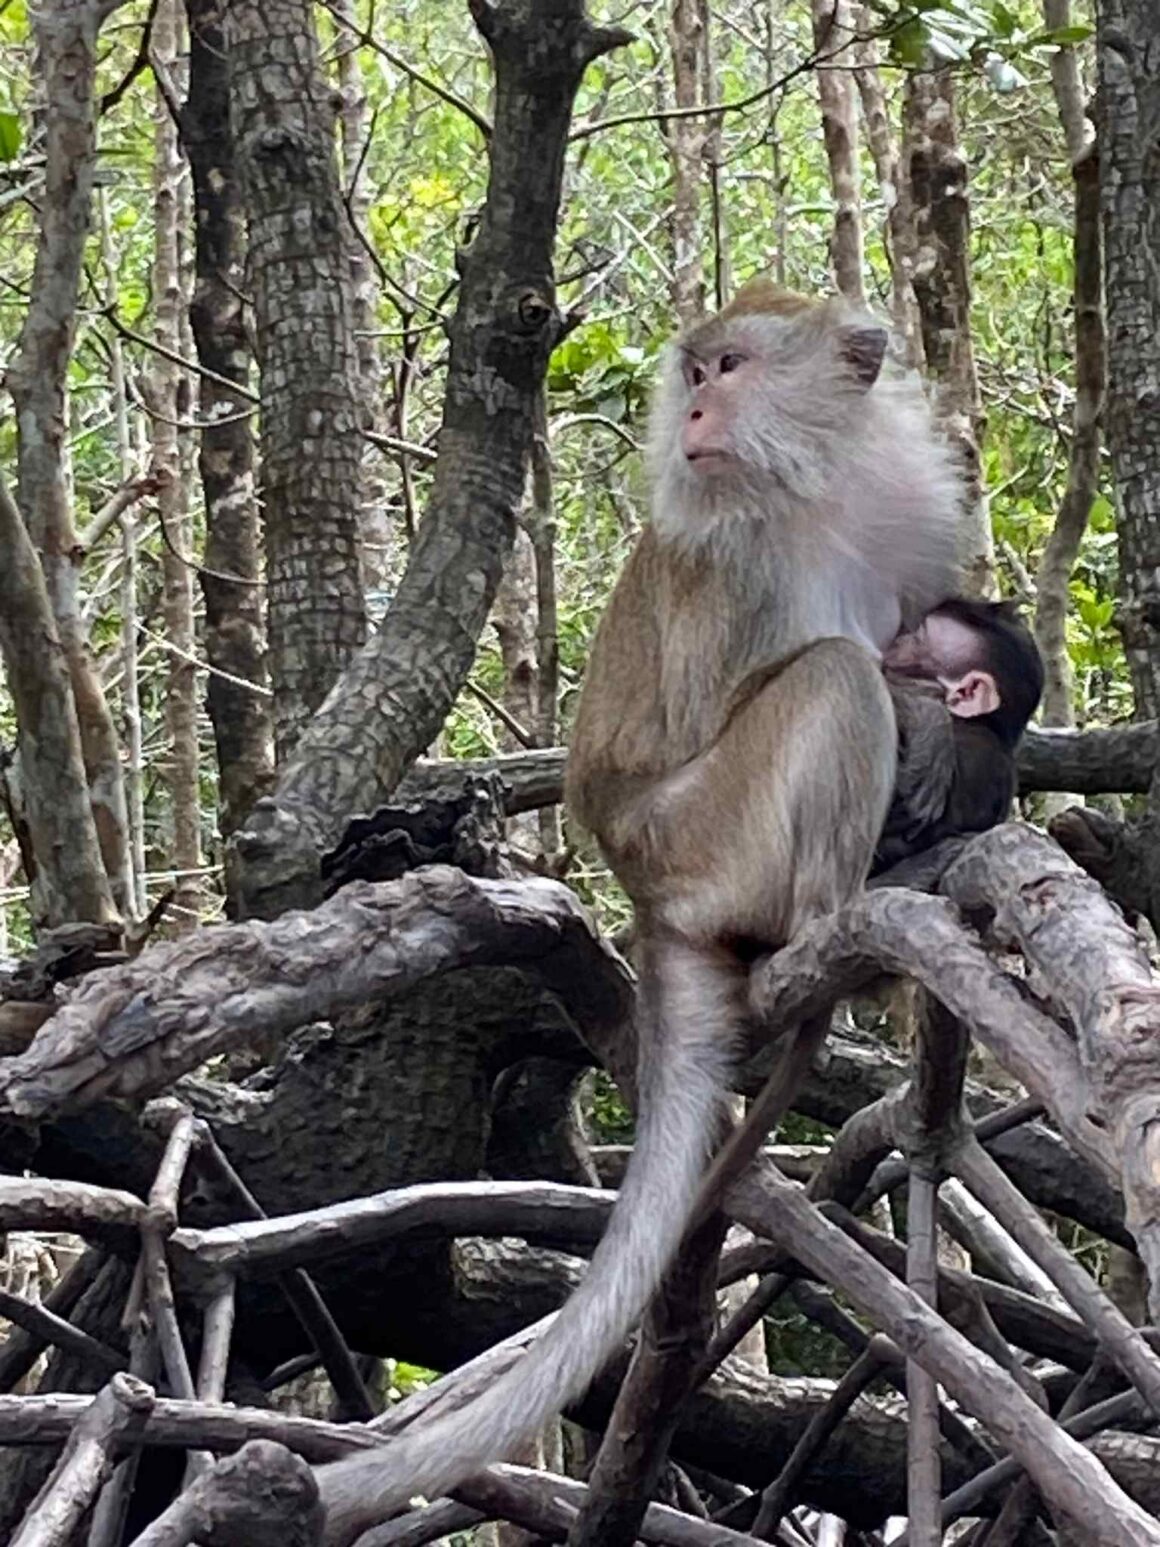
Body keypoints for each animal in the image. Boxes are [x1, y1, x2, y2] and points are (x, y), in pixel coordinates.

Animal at [313, 281, 965, 1547]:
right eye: (693, 371)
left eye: (729, 364)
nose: (699, 409)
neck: (809, 484)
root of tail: (647, 893)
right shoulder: (734, 561)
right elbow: (777, 683)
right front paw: (924, 725)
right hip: (702, 836)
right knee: (827, 679)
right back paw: (832, 916)